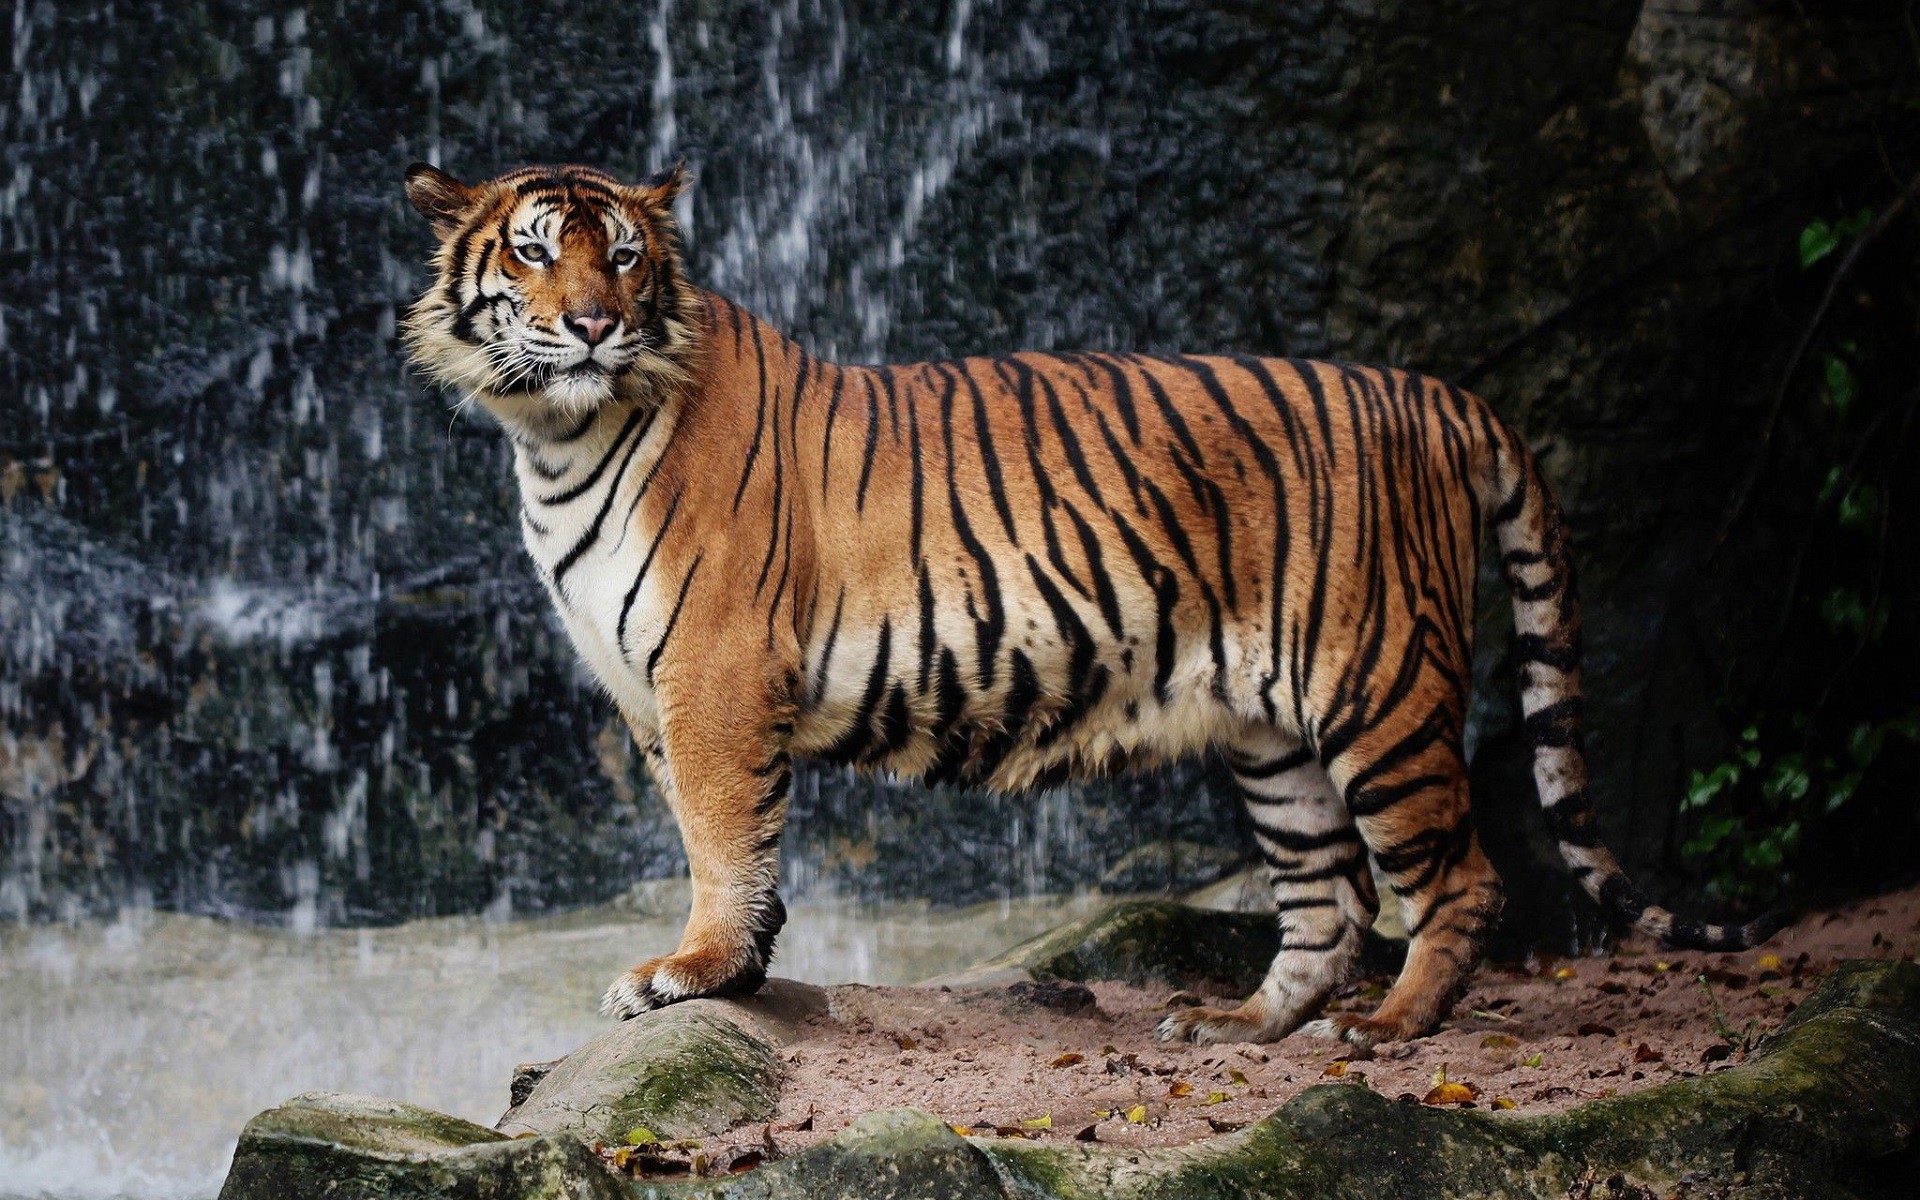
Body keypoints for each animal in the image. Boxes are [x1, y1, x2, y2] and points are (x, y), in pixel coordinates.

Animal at [400, 160, 1781, 1048]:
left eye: (626, 256)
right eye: (534, 247)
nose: (593, 324)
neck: (557, 436)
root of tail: (1434, 391)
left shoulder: (717, 673)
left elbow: (719, 839)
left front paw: (692, 974)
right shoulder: (652, 693)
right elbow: (731, 838)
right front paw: (740, 973)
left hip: (1379, 688)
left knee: (1458, 882)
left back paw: (1391, 1030)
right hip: (1274, 735)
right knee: (1326, 898)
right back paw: (1241, 1023)